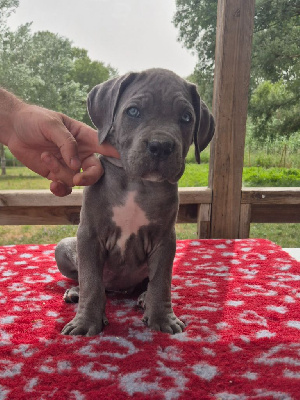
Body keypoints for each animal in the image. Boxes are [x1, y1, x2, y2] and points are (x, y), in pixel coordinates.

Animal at [54, 69, 213, 338]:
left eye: (186, 117)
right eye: (133, 112)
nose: (161, 146)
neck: (136, 183)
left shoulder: (164, 239)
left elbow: (161, 281)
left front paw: (162, 317)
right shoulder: (89, 235)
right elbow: (91, 281)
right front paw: (86, 322)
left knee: (147, 283)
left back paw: (143, 297)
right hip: (63, 248)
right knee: (91, 282)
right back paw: (76, 292)